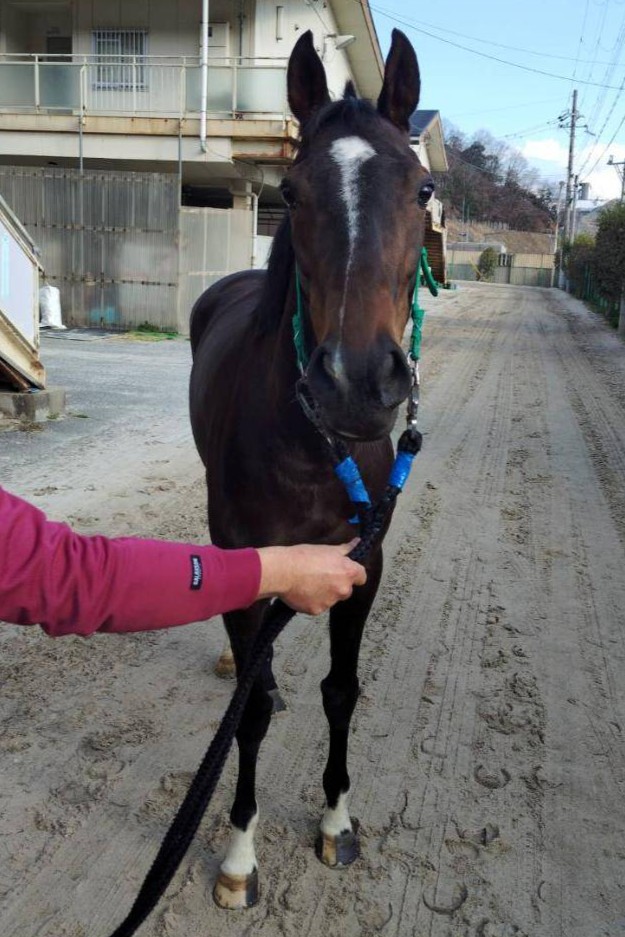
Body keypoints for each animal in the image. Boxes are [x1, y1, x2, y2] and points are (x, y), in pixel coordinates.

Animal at [189, 28, 434, 910]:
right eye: (291, 193)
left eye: (423, 187)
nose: (356, 383)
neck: (309, 446)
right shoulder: (248, 552)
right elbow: (252, 713)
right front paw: (237, 853)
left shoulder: (361, 563)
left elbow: (341, 689)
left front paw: (335, 820)